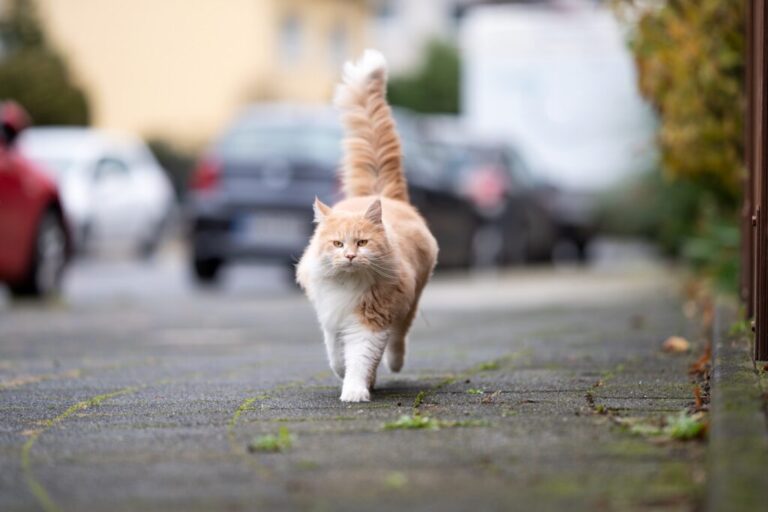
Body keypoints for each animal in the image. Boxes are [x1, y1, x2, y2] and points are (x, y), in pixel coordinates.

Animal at [296, 50, 438, 402]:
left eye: (361, 243)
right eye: (337, 244)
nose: (349, 257)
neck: (348, 284)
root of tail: (379, 193)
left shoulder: (371, 320)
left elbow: (360, 358)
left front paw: (355, 391)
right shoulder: (332, 317)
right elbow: (336, 354)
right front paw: (344, 376)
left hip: (408, 302)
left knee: (398, 340)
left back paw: (393, 366)